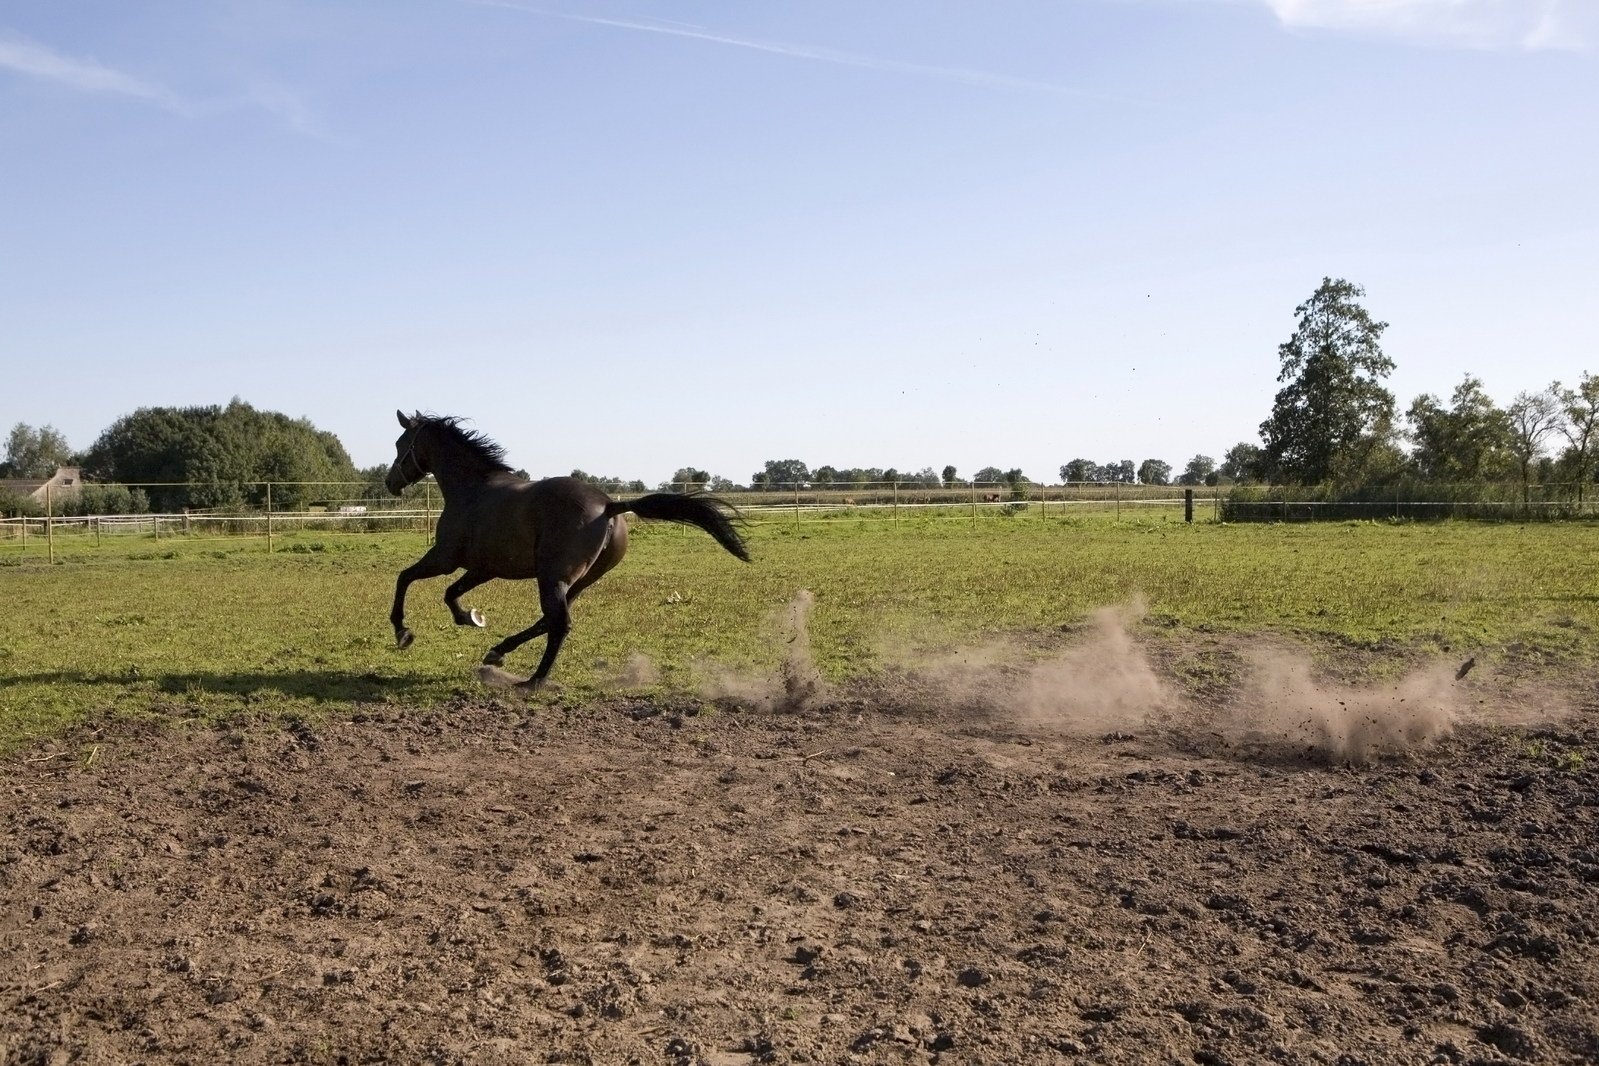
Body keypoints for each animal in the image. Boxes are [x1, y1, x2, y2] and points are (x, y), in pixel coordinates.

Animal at [382, 409, 748, 693]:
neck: (472, 490)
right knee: (550, 619)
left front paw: (403, 632)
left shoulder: (445, 558)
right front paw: (470, 617)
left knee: (560, 623)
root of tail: (609, 506)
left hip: (552, 577)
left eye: (401, 444)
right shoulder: (483, 568)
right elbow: (450, 592)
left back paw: (533, 680)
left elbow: (405, 578)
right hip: (578, 581)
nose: (390, 483)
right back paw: (499, 652)